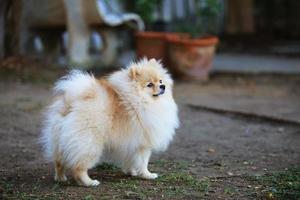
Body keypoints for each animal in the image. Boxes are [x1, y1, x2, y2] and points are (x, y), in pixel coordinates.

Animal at [41, 58, 179, 187]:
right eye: (149, 85)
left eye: (160, 81)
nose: (163, 86)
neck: (141, 99)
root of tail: (71, 103)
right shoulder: (143, 145)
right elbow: (143, 162)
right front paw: (147, 175)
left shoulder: (131, 143)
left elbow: (130, 160)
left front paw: (131, 172)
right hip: (89, 143)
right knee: (79, 167)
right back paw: (89, 182)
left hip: (59, 140)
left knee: (59, 161)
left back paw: (61, 178)